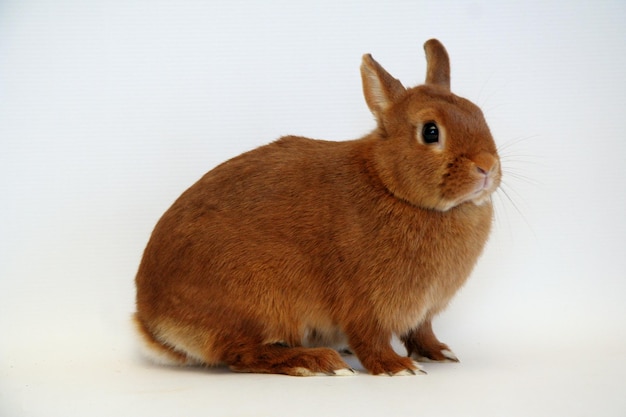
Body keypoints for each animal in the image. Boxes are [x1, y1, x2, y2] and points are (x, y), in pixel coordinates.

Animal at [134, 39, 500, 376]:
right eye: (430, 131)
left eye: (479, 116)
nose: (487, 166)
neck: (389, 184)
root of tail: (152, 322)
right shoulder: (364, 302)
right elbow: (371, 338)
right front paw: (397, 367)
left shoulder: (423, 312)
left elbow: (421, 332)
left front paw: (439, 353)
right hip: (257, 301)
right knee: (243, 355)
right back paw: (316, 361)